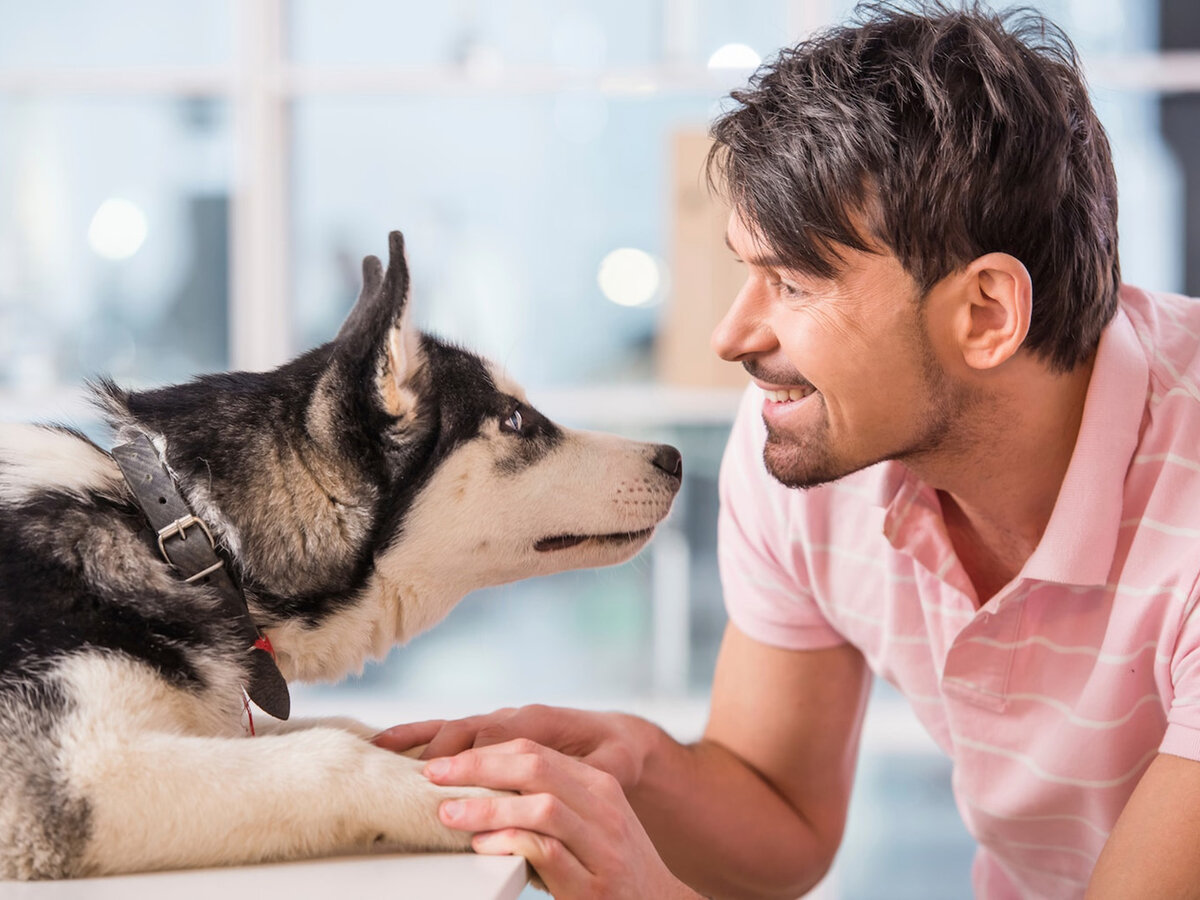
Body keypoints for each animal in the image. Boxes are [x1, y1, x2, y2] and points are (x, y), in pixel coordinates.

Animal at [0, 232, 686, 883]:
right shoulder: (89, 768)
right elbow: (334, 752)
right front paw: (486, 792)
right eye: (515, 419)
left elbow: (352, 728)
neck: (181, 531)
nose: (675, 458)